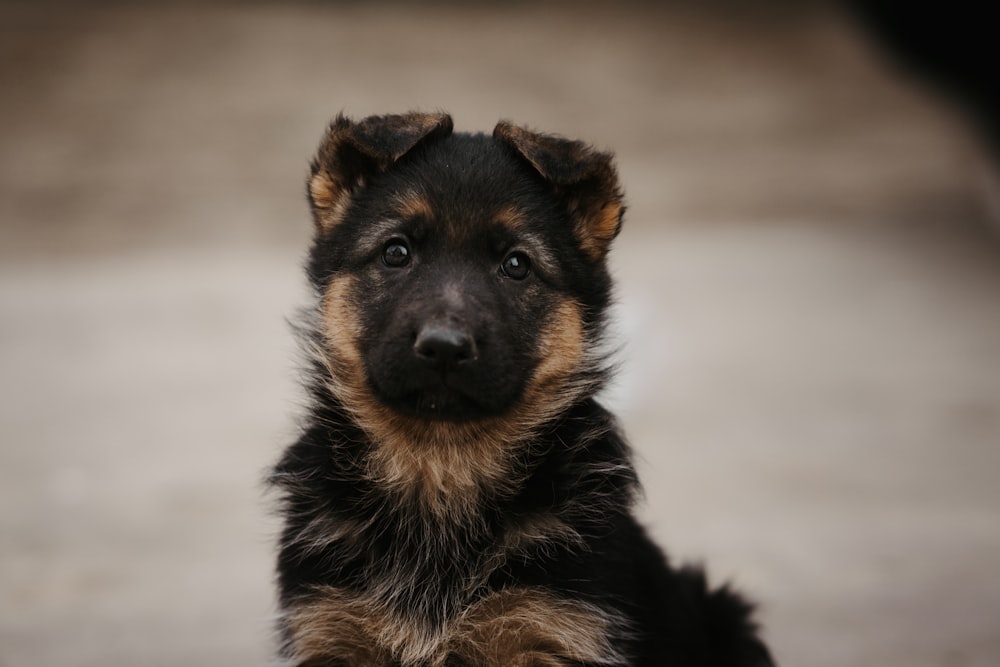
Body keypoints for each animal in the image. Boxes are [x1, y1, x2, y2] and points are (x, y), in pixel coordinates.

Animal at [268, 115, 772, 667]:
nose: (444, 347)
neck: (442, 466)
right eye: (395, 252)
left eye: (516, 264)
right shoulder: (332, 628)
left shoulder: (548, 629)